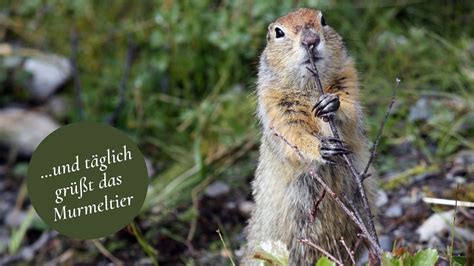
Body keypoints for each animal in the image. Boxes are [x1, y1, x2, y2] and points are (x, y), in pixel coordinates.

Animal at [246, 7, 376, 264]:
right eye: (278, 32)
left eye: (323, 20)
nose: (310, 40)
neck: (309, 89)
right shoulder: (275, 105)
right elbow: (292, 134)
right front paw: (322, 148)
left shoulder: (348, 78)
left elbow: (351, 112)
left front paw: (331, 105)